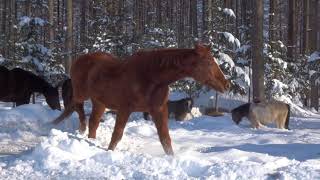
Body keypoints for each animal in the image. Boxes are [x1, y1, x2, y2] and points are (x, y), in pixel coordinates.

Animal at [52, 43, 229, 155]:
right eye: (208, 62)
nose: (226, 85)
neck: (151, 77)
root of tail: (80, 59)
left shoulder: (159, 110)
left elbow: (166, 140)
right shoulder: (125, 109)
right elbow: (117, 135)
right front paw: (109, 153)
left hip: (99, 102)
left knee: (92, 122)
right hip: (81, 94)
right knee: (76, 109)